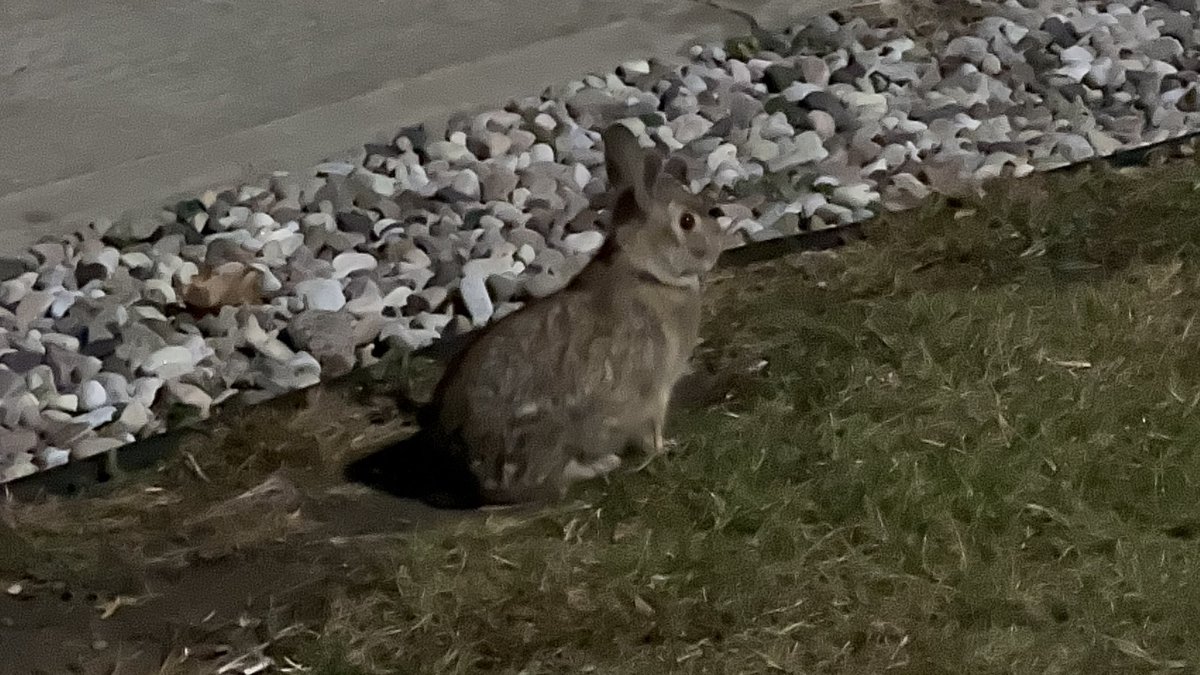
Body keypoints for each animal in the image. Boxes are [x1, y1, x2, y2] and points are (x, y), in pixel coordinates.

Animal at [346, 123, 730, 507]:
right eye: (686, 221)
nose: (716, 246)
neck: (646, 270)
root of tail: (472, 470)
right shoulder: (653, 392)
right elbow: (652, 431)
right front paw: (665, 449)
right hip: (550, 436)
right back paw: (599, 465)